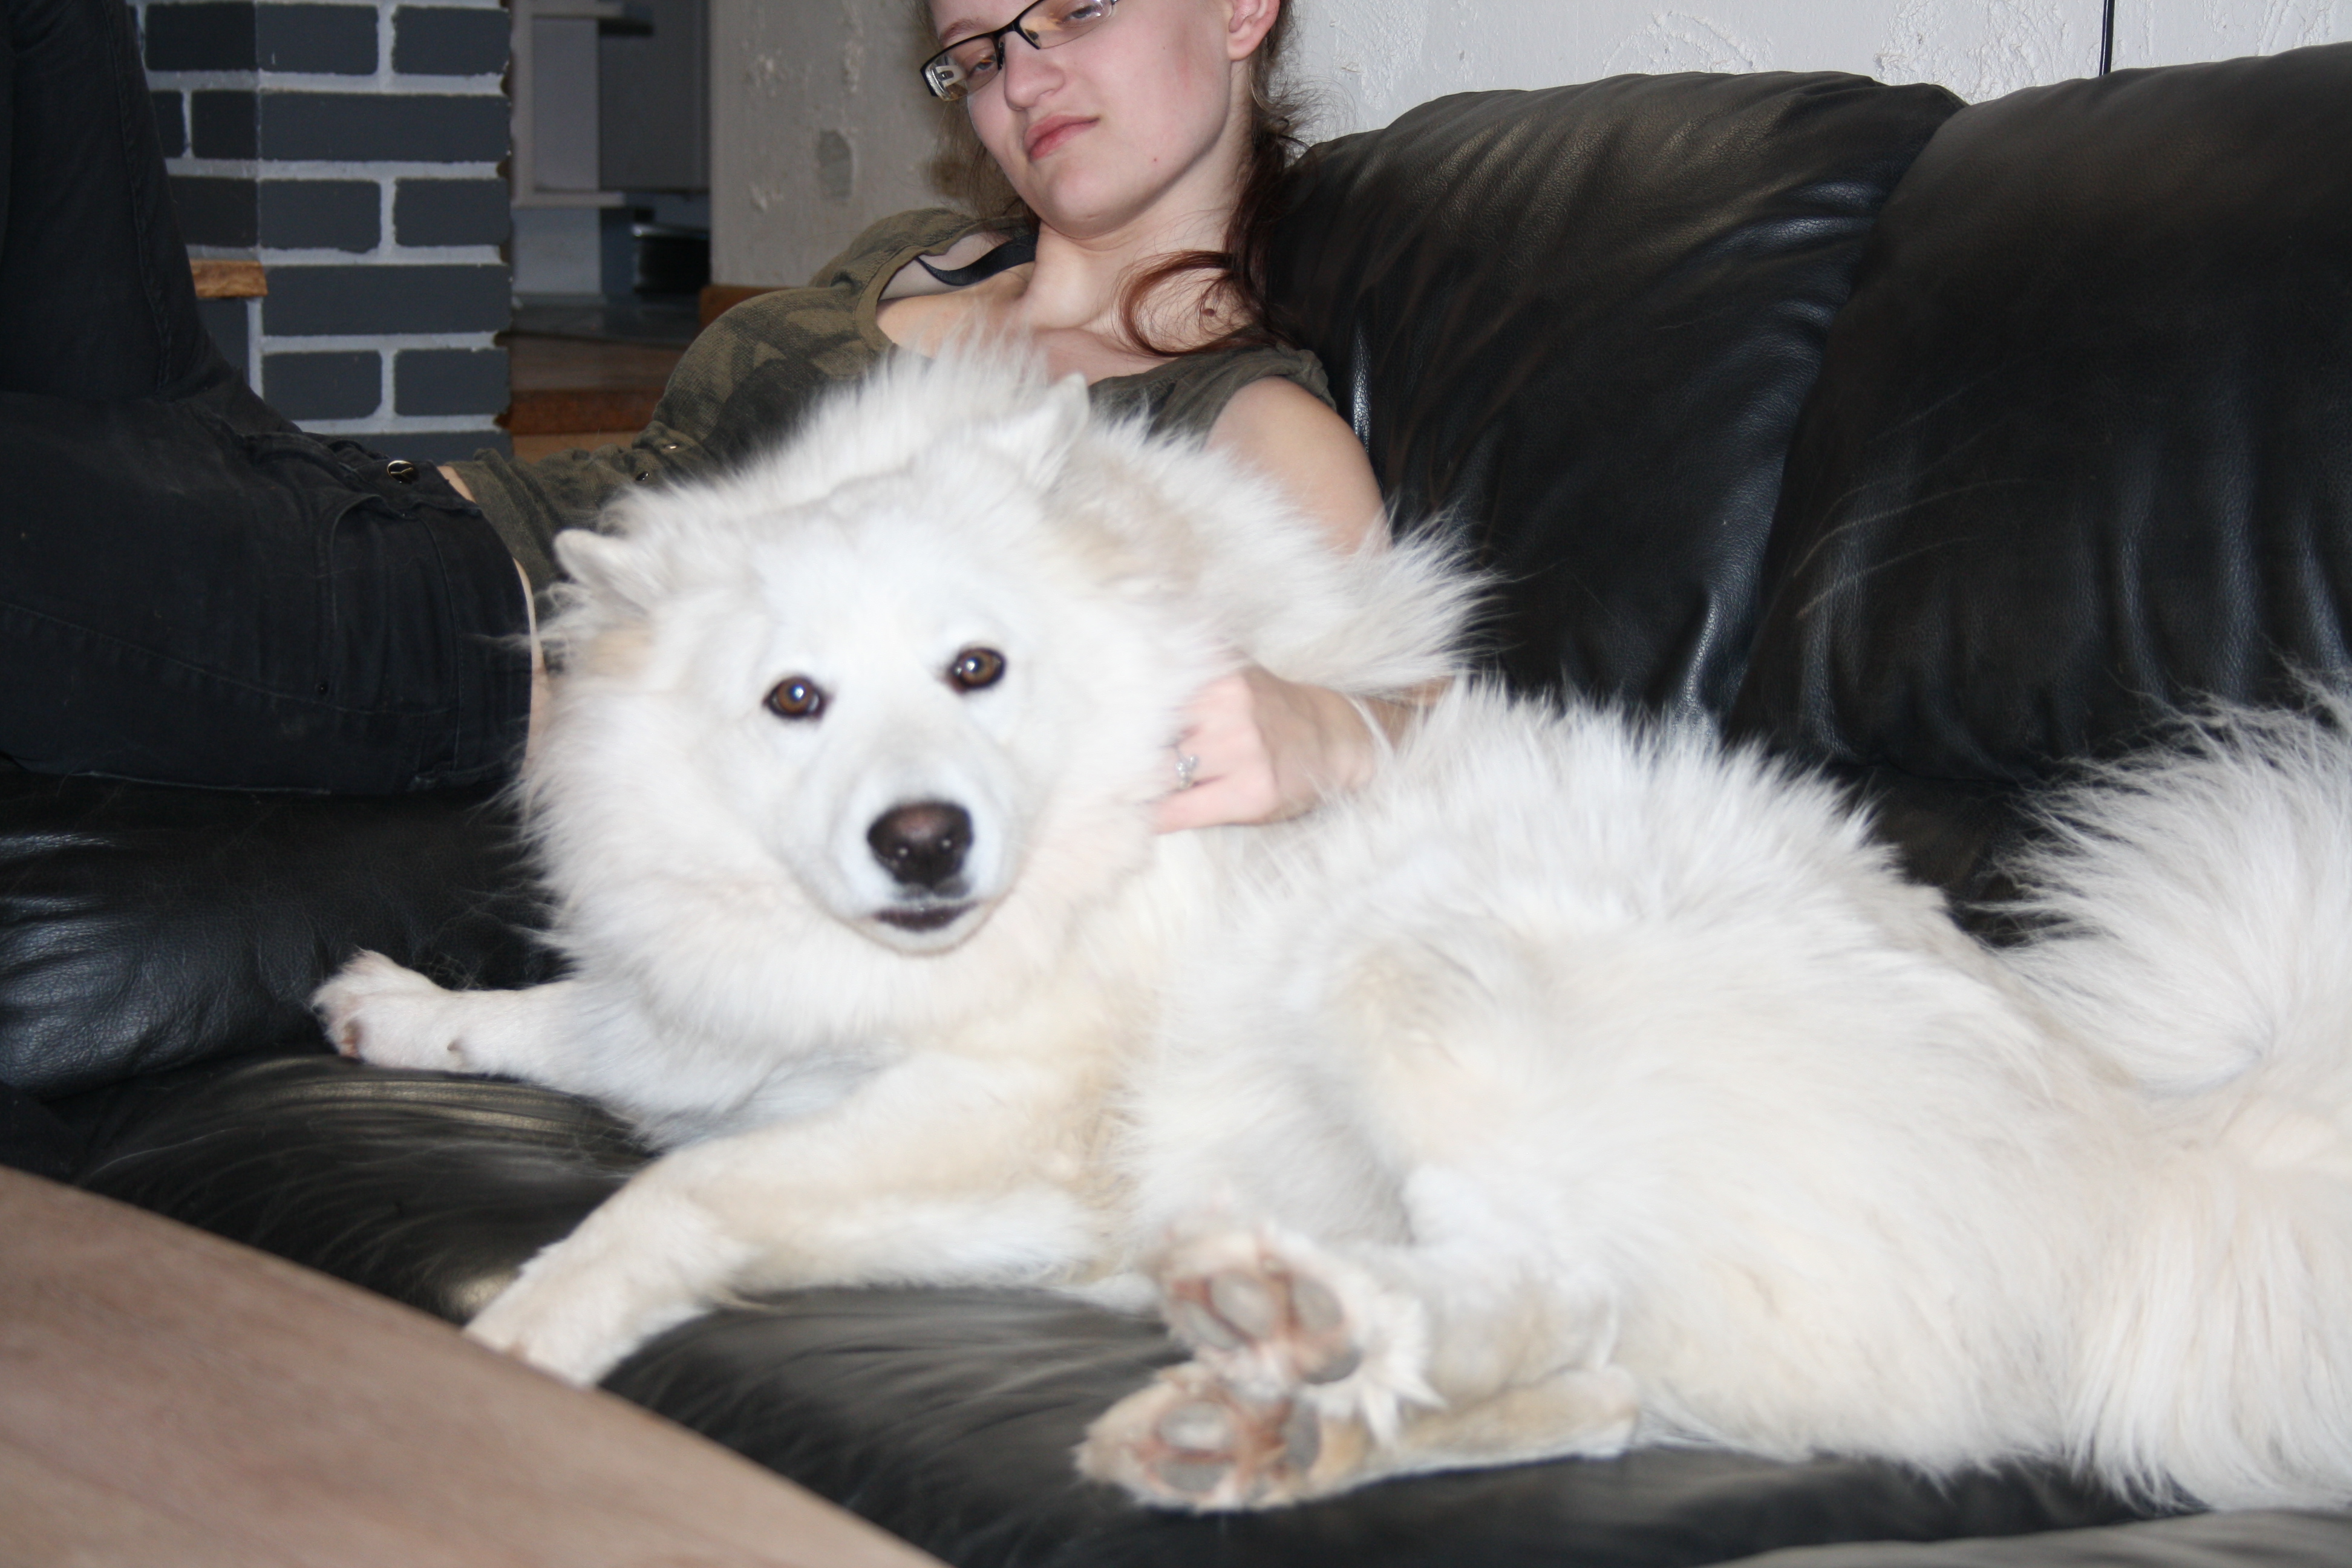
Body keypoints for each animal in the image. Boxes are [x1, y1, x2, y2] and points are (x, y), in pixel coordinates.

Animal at [317, 359, 2352, 1523]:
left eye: (976, 669)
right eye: (793, 701)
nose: (923, 840)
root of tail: (2132, 1159)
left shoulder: (991, 1120)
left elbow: (686, 1191)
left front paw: (528, 1329)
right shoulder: (733, 1026)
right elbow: (581, 1022)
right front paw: (402, 1012)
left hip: (1418, 969)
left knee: (1550, 1297)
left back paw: (1286, 1332)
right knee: (1594, 1394)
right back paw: (1272, 1420)